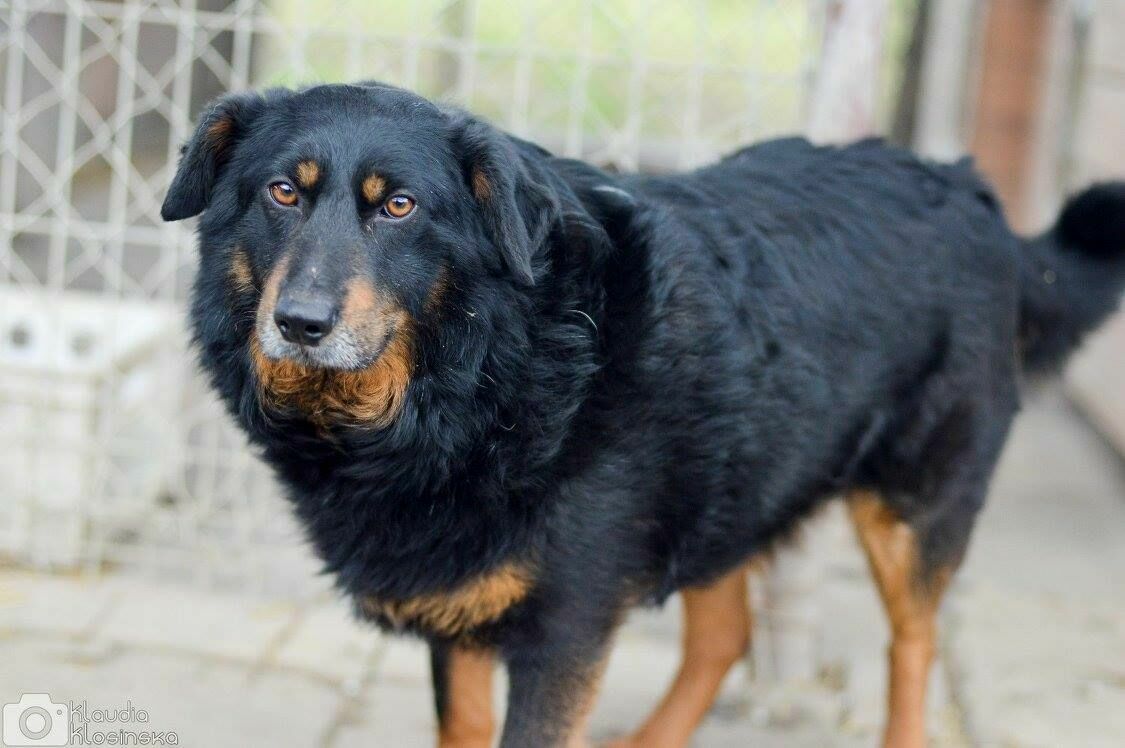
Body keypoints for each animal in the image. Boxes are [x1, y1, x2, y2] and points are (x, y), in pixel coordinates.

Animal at [162, 81, 1125, 747]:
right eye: (282, 194)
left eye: (397, 206)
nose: (300, 323)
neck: (488, 370)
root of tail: (969, 189)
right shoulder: (463, 599)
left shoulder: (565, 629)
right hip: (725, 485)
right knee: (725, 637)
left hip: (912, 506)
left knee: (909, 647)